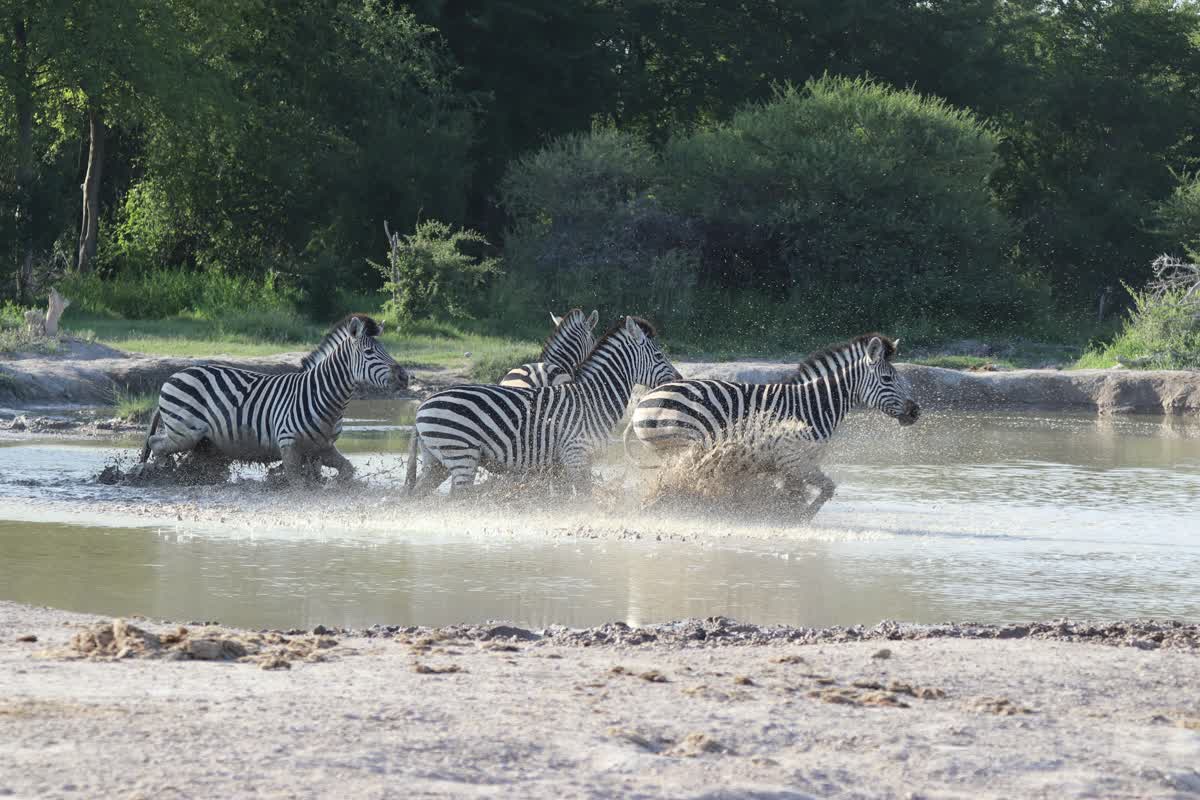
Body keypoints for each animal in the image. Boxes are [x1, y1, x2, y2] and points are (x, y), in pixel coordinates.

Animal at [139, 315, 406, 485]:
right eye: (369, 352)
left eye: (386, 350)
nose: (405, 376)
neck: (323, 396)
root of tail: (175, 375)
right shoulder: (289, 445)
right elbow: (298, 485)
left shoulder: (323, 448)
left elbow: (346, 471)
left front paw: (332, 485)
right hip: (184, 433)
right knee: (155, 444)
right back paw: (161, 475)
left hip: (204, 443)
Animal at [405, 315, 680, 495]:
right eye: (659, 355)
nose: (678, 378)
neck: (592, 399)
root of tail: (422, 405)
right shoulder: (575, 455)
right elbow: (585, 500)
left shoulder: (562, 465)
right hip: (461, 454)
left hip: (436, 461)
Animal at [625, 333, 919, 517]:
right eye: (887, 379)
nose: (915, 411)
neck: (815, 405)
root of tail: (645, 400)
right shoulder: (793, 458)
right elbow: (824, 489)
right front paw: (799, 518)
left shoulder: (790, 463)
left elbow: (802, 491)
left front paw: (781, 514)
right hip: (683, 445)